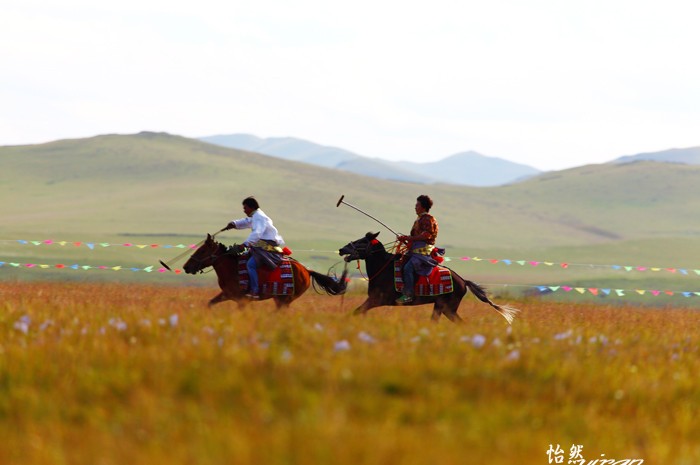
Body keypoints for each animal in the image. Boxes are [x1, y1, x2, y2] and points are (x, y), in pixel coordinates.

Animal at [183, 236, 348, 308]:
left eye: (202, 250)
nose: (186, 267)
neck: (232, 269)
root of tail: (306, 270)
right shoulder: (227, 294)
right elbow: (210, 303)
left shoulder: (242, 300)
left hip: (284, 300)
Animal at [340, 232, 520, 322]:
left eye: (362, 241)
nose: (342, 249)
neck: (383, 267)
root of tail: (463, 281)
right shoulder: (374, 300)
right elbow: (358, 312)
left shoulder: (377, 299)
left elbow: (356, 312)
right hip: (442, 307)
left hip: (447, 307)